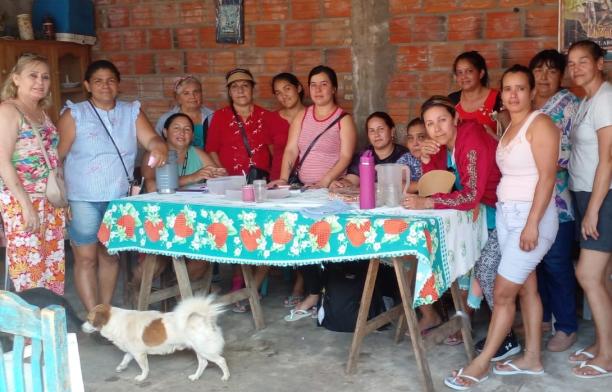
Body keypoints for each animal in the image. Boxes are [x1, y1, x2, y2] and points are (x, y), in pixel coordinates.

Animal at [86, 296, 230, 382]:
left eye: (89, 320)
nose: (82, 327)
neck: (117, 320)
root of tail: (204, 318)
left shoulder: (139, 354)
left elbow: (144, 368)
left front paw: (142, 377)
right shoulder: (132, 351)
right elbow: (125, 358)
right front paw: (121, 367)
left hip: (205, 350)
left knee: (221, 360)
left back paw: (226, 376)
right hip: (199, 349)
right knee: (203, 363)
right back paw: (195, 376)